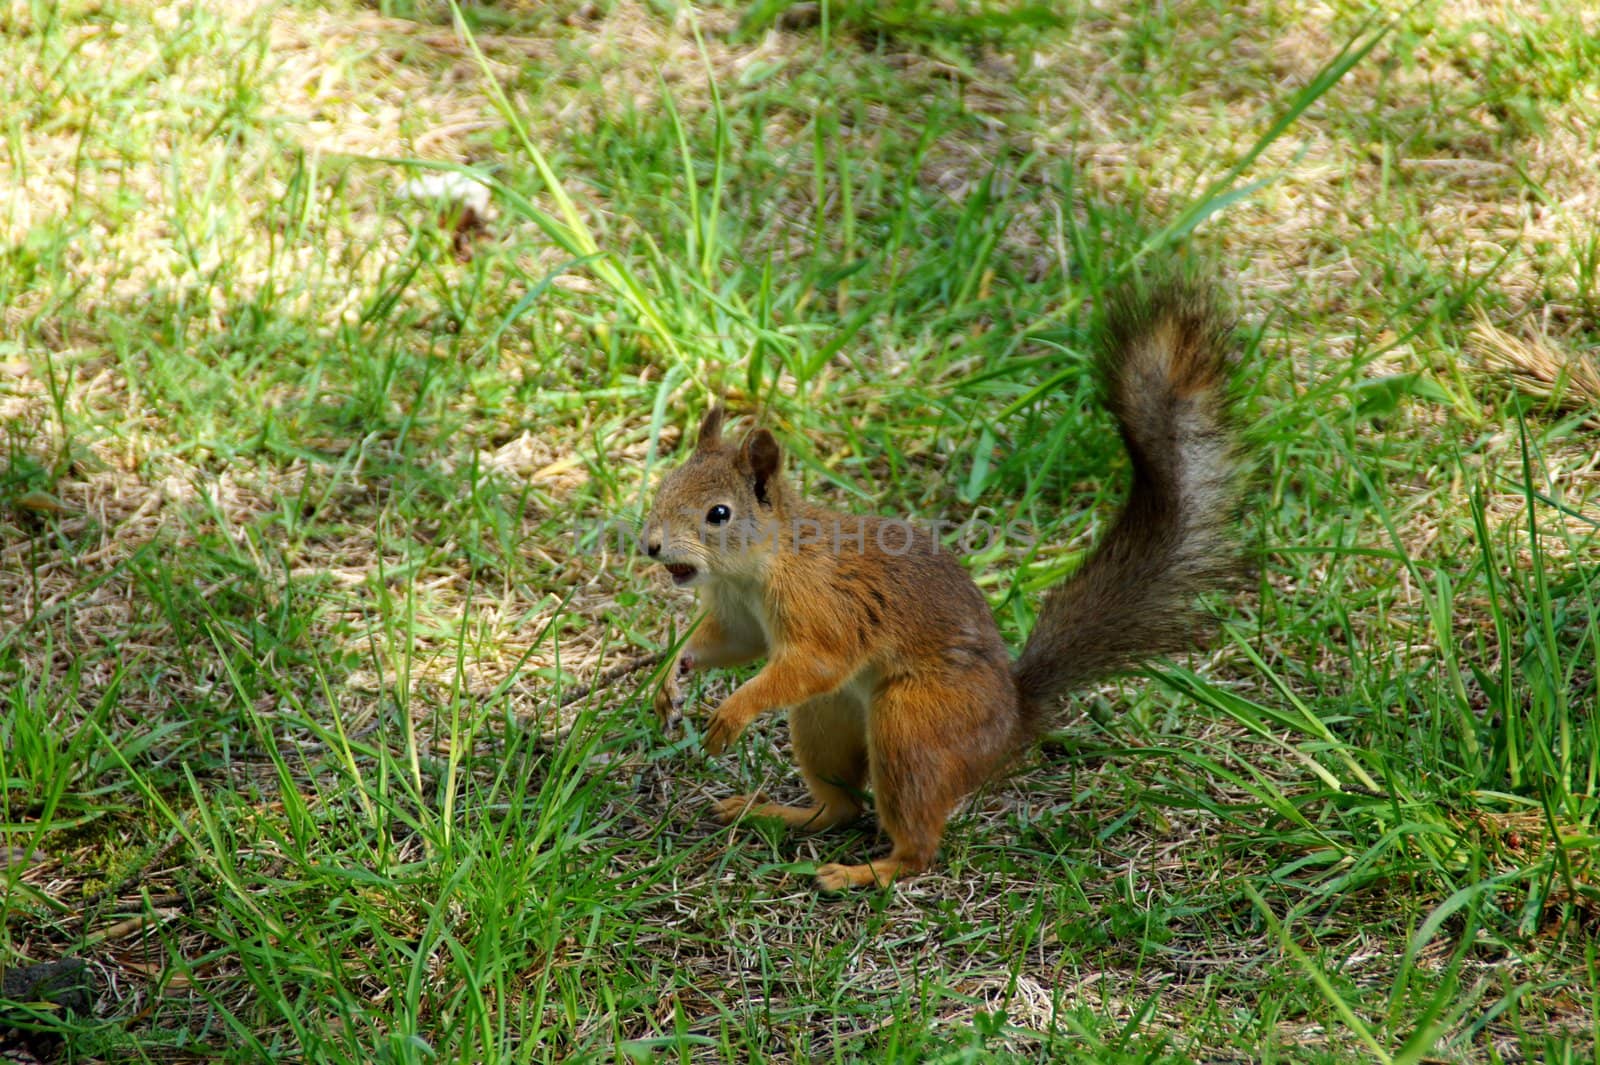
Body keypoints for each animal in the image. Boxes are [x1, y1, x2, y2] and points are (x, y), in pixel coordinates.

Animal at [643, 279, 1241, 889]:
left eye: (719, 514)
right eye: (664, 486)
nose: (652, 546)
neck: (762, 565)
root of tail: (1009, 722)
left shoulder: (823, 606)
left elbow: (815, 661)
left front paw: (731, 713)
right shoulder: (740, 615)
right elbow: (731, 644)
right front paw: (669, 676)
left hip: (912, 727)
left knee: (917, 844)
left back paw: (865, 873)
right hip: (824, 719)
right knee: (842, 808)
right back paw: (771, 813)